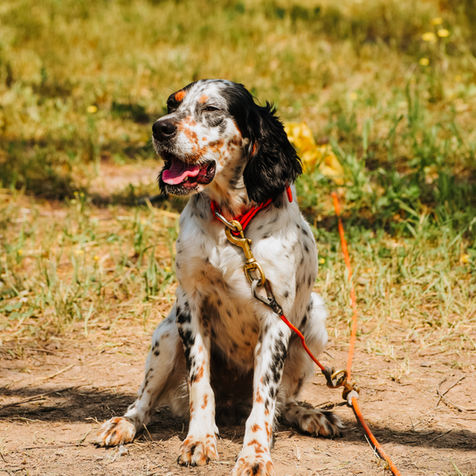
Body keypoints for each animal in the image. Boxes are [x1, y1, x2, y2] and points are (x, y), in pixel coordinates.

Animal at [96, 79, 341, 475]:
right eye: (172, 104)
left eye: (212, 109)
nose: (160, 128)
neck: (233, 224)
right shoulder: (191, 305)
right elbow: (200, 384)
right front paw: (199, 439)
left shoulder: (276, 319)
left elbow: (264, 399)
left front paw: (255, 453)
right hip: (166, 335)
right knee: (145, 402)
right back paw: (124, 424)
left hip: (313, 325)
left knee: (284, 402)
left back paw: (311, 416)